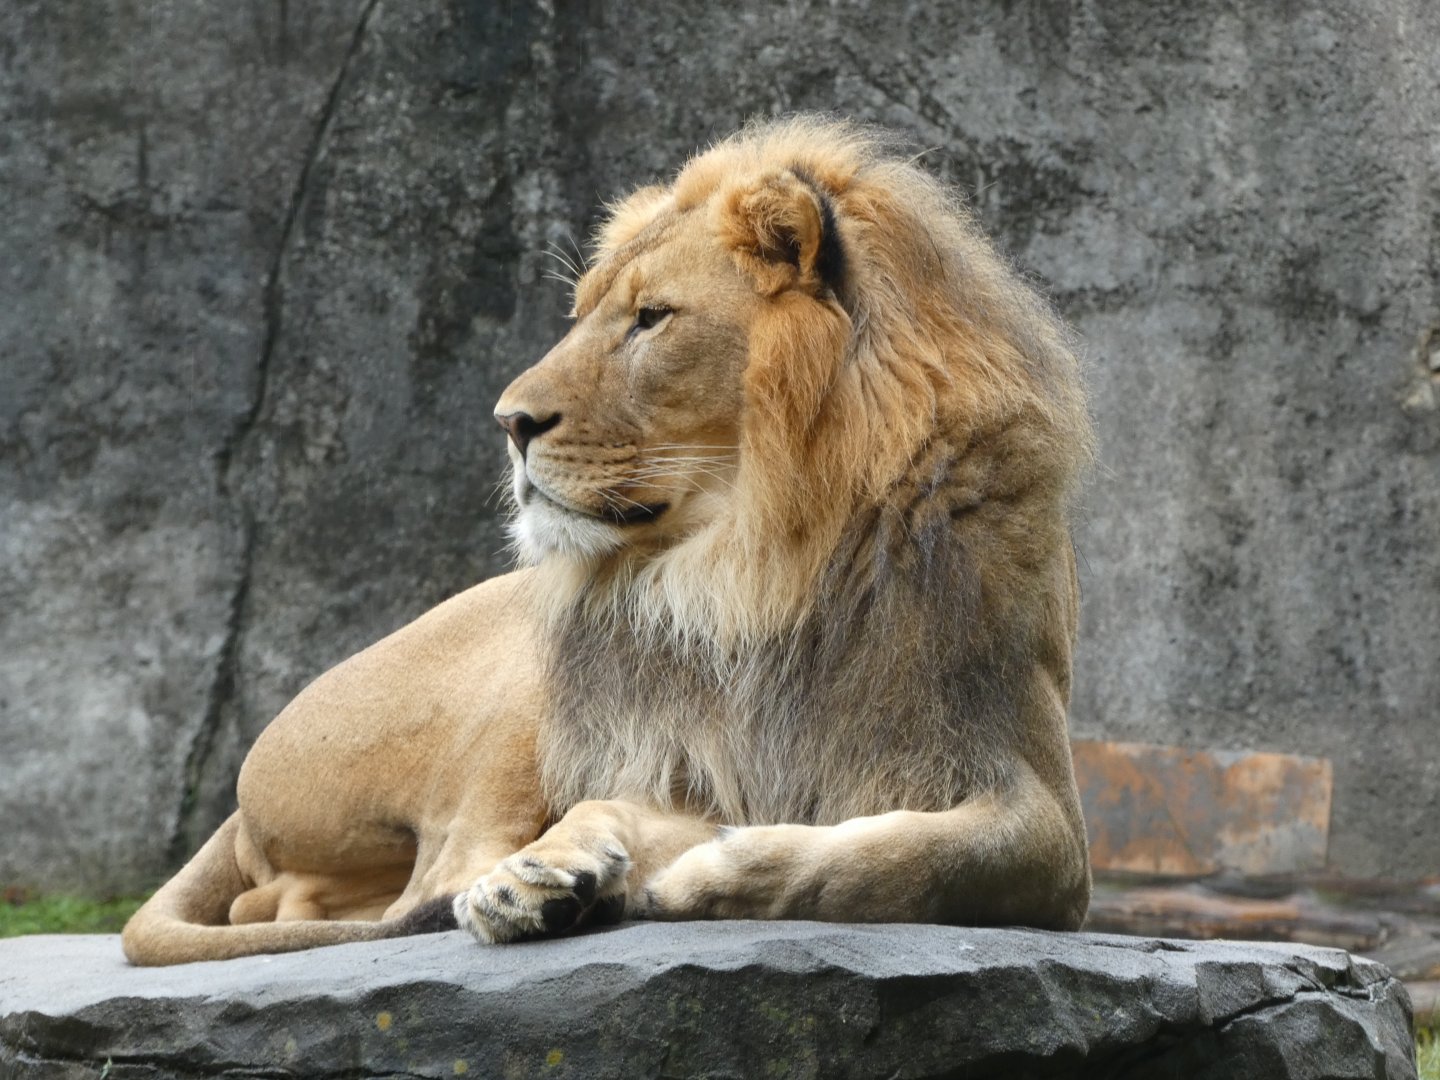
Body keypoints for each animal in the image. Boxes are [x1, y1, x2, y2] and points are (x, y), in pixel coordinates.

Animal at [121, 116, 1094, 966]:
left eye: (651, 317)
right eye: (584, 313)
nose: (510, 423)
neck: (754, 570)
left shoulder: (1043, 818)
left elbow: (903, 857)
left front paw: (698, 870)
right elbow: (634, 811)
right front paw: (550, 874)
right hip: (523, 685)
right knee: (386, 890)